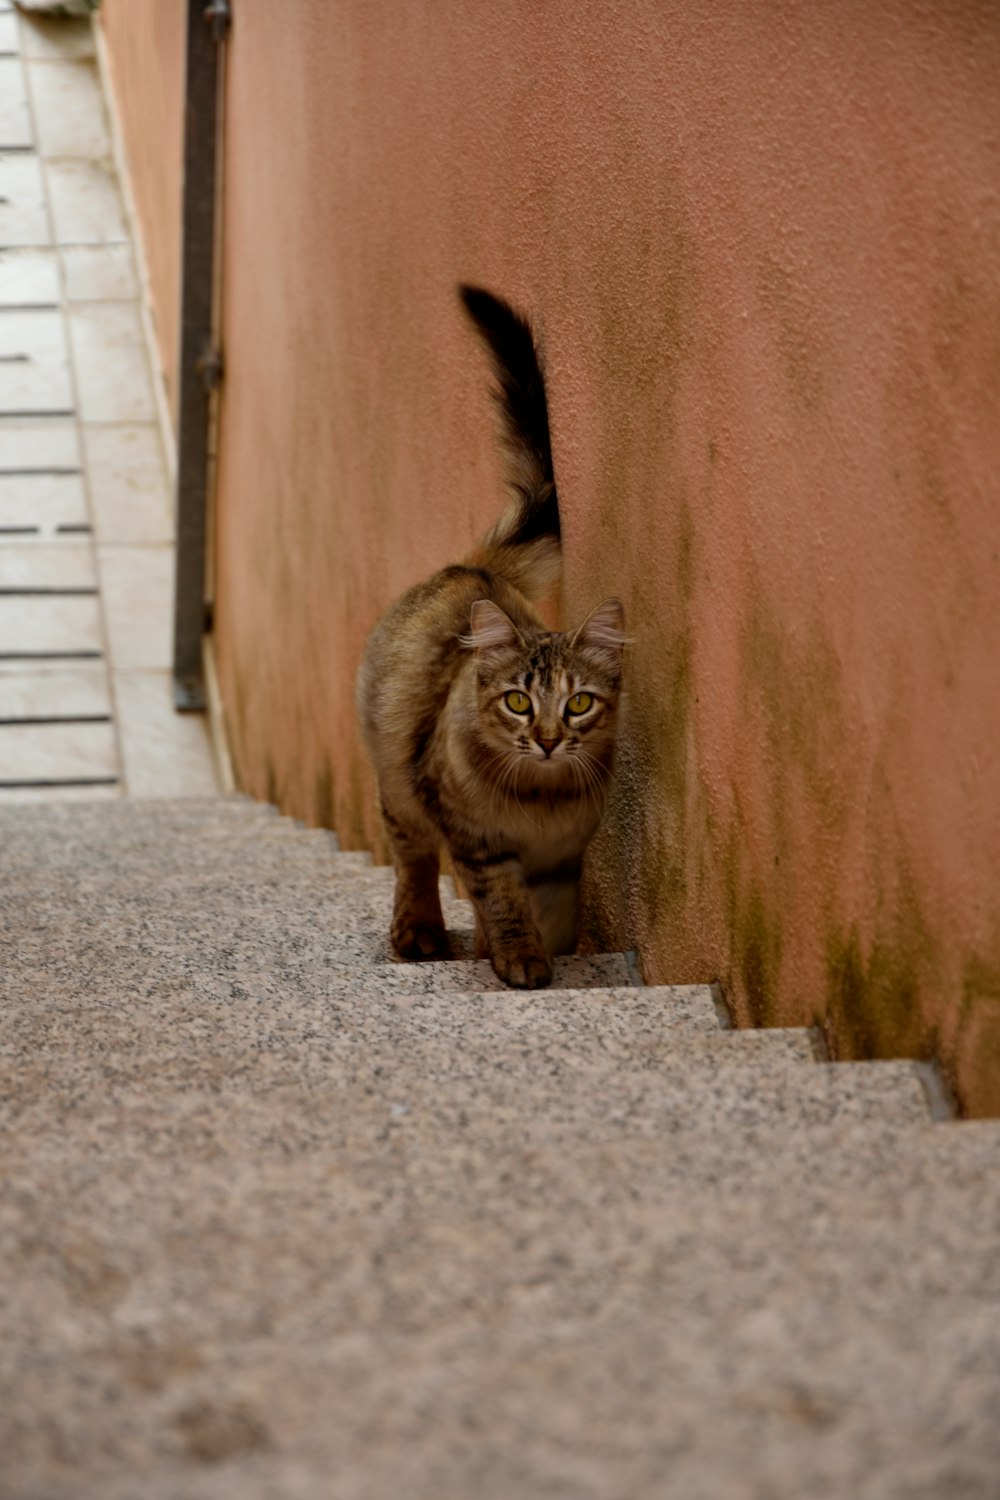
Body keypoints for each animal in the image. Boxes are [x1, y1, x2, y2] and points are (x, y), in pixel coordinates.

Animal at [358, 286, 626, 990]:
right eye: (518, 701)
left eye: (579, 702)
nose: (549, 739)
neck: (540, 798)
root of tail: (477, 566)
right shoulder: (477, 841)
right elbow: (501, 901)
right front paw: (518, 959)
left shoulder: (564, 860)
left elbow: (550, 913)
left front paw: (532, 951)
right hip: (399, 777)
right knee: (414, 858)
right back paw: (419, 932)